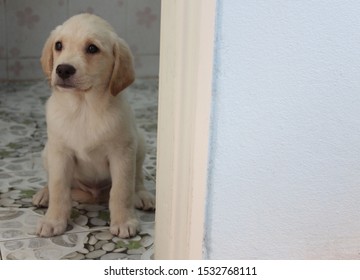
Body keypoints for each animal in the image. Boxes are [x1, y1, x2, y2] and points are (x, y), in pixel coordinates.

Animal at [31, 14, 154, 237]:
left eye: (92, 48)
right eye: (58, 45)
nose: (63, 69)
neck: (84, 108)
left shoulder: (122, 153)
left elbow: (121, 190)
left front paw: (124, 221)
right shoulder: (60, 152)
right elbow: (58, 187)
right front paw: (53, 220)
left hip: (139, 144)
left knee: (137, 178)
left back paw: (143, 195)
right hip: (47, 151)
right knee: (52, 181)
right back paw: (44, 194)